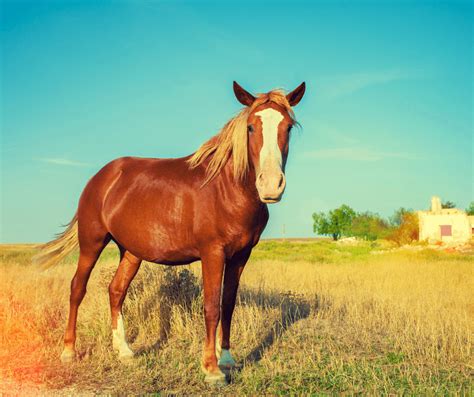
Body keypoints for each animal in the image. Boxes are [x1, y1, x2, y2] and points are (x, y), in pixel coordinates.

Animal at [34, 81, 308, 384]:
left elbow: (228, 305)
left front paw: (227, 359)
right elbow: (211, 307)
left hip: (131, 251)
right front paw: (211, 369)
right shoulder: (212, 253)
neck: (227, 189)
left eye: (288, 127)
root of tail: (102, 177)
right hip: (92, 242)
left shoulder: (241, 255)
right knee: (77, 289)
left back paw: (124, 351)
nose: (271, 185)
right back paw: (69, 351)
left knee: (116, 290)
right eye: (250, 127)